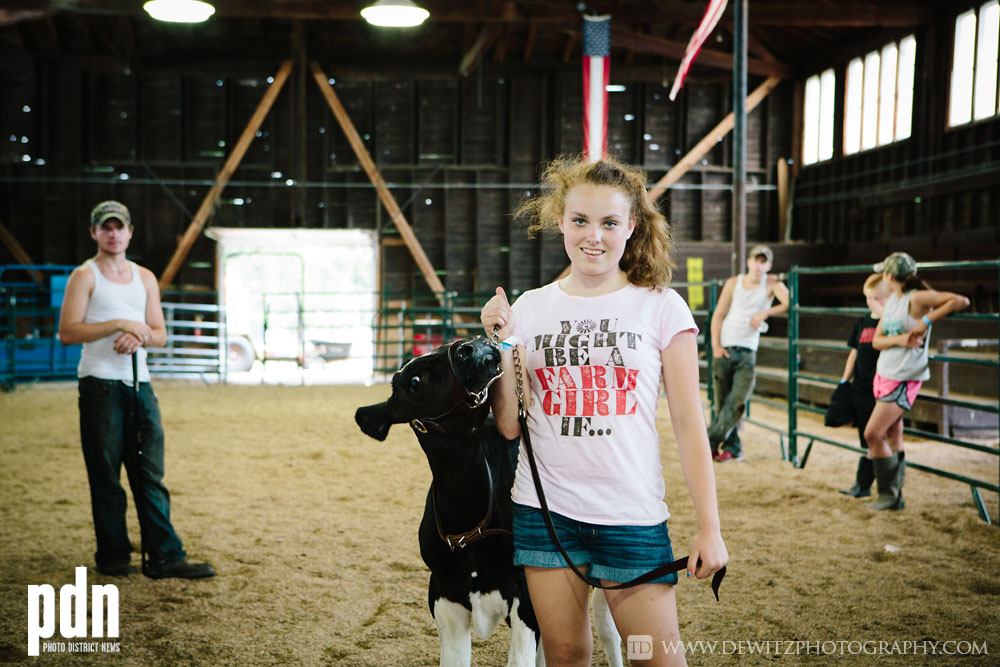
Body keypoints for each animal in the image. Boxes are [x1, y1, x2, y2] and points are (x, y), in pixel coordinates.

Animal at [352, 340, 616, 667]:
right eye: (414, 382)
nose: (471, 346)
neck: (469, 525)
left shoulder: (526, 597)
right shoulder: (444, 596)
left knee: (609, 632)